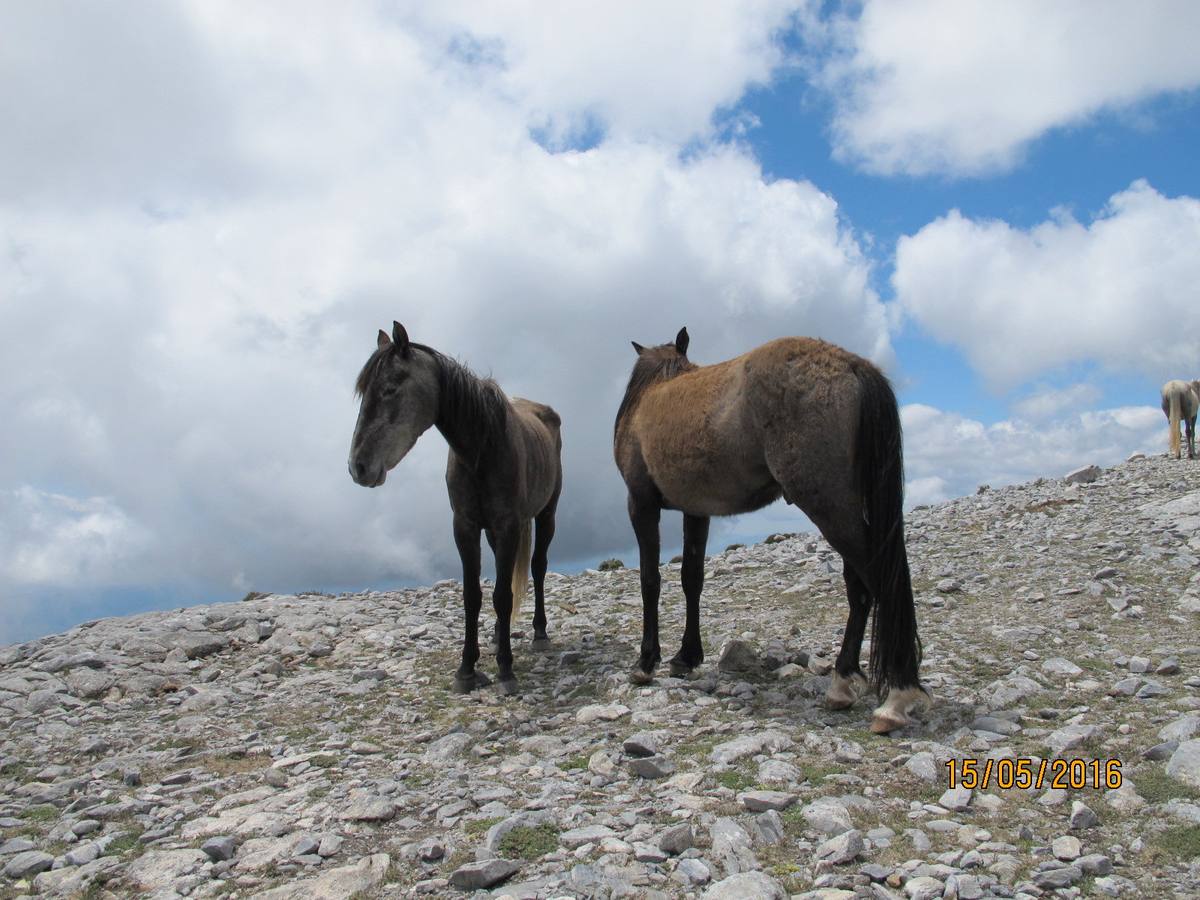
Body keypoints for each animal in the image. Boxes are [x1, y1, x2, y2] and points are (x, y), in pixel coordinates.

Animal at [348, 324, 561, 696]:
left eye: (390, 389)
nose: (357, 466)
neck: (482, 449)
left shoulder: (508, 525)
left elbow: (503, 595)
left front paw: (506, 670)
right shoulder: (465, 527)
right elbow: (473, 596)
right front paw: (467, 669)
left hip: (546, 514)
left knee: (538, 567)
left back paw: (539, 633)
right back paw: (498, 636)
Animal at [614, 328, 921, 734]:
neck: (652, 393)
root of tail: (851, 364)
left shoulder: (641, 504)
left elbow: (650, 580)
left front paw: (645, 663)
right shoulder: (696, 510)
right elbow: (691, 579)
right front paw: (686, 657)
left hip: (831, 508)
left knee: (877, 582)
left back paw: (895, 699)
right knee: (859, 589)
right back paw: (842, 683)